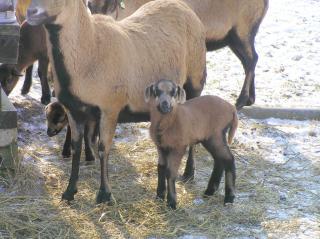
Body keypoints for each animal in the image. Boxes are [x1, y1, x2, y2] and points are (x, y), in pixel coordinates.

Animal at [89, 0, 268, 109]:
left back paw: (241, 100)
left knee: (251, 60)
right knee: (248, 61)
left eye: (110, 4)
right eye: (90, 6)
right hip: (233, 38)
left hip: (242, 31)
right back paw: (250, 99)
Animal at [145, 79, 238, 208]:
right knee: (219, 160)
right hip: (209, 139)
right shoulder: (161, 147)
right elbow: (161, 168)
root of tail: (232, 109)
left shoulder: (178, 147)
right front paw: (159, 196)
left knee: (229, 159)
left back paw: (229, 197)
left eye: (173, 92)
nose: (165, 105)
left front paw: (171, 202)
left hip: (217, 134)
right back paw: (210, 191)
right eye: (156, 91)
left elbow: (170, 172)